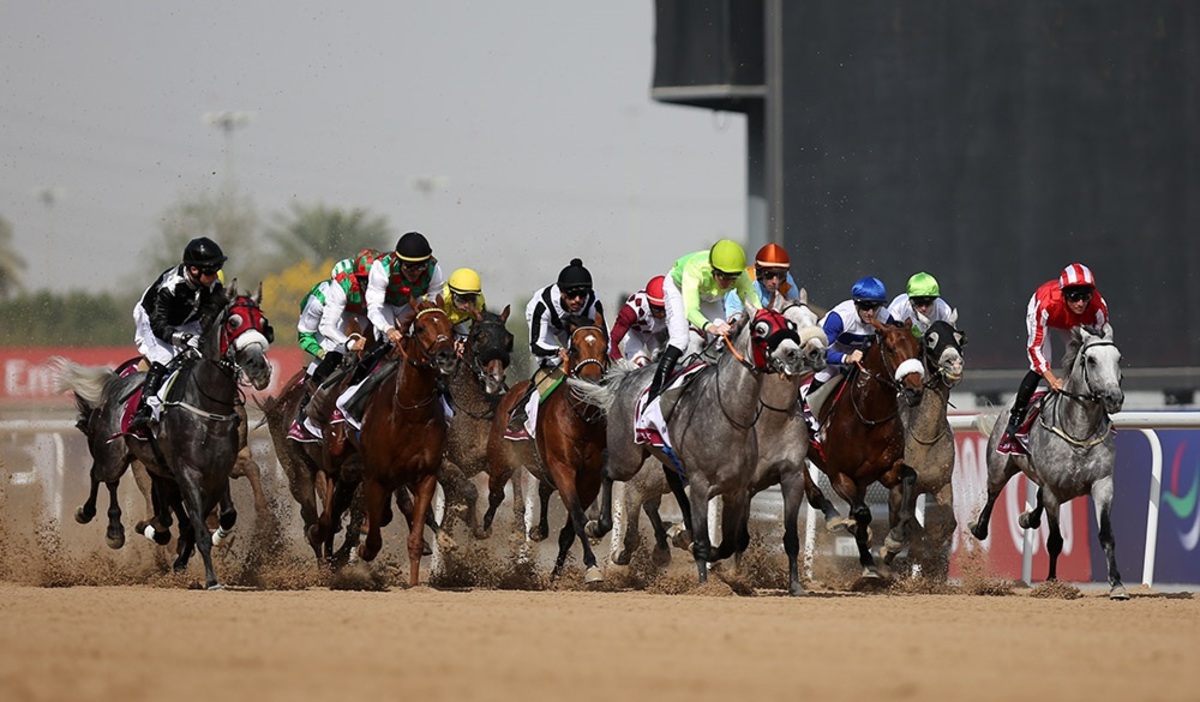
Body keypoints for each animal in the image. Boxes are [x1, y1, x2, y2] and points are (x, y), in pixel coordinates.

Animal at [56, 282, 272, 588]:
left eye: (264, 324)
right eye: (233, 322)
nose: (259, 367)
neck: (208, 402)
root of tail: (115, 384)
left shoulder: (221, 465)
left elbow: (225, 512)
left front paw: (221, 536)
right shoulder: (188, 471)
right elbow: (198, 523)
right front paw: (211, 576)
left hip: (158, 468)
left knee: (164, 509)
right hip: (117, 457)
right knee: (102, 477)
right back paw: (108, 526)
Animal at [352, 298, 460, 583]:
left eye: (451, 327)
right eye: (421, 328)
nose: (447, 357)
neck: (410, 412)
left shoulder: (426, 476)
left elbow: (415, 538)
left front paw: (414, 584)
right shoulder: (374, 476)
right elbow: (374, 538)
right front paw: (363, 549)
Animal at [484, 312, 609, 580]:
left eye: (605, 348)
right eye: (574, 349)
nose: (592, 382)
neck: (581, 421)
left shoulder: (590, 478)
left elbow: (571, 528)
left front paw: (559, 573)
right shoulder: (563, 468)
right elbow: (577, 517)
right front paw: (591, 565)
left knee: (542, 490)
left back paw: (539, 530)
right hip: (501, 462)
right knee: (496, 495)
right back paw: (483, 531)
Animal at [806, 316, 926, 576]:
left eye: (919, 349)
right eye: (890, 349)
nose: (915, 391)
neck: (868, 419)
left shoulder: (887, 469)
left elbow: (910, 477)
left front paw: (894, 541)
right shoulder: (839, 475)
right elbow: (862, 513)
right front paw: (869, 559)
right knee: (811, 489)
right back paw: (832, 515)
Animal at [964, 321, 1123, 597]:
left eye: (1118, 358)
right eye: (1091, 360)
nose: (1114, 397)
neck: (1079, 433)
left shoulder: (1102, 483)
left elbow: (1106, 535)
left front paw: (1117, 585)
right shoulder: (1053, 491)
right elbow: (1055, 540)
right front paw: (1052, 582)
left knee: (1034, 499)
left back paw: (1028, 517)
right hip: (999, 467)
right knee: (993, 494)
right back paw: (980, 527)